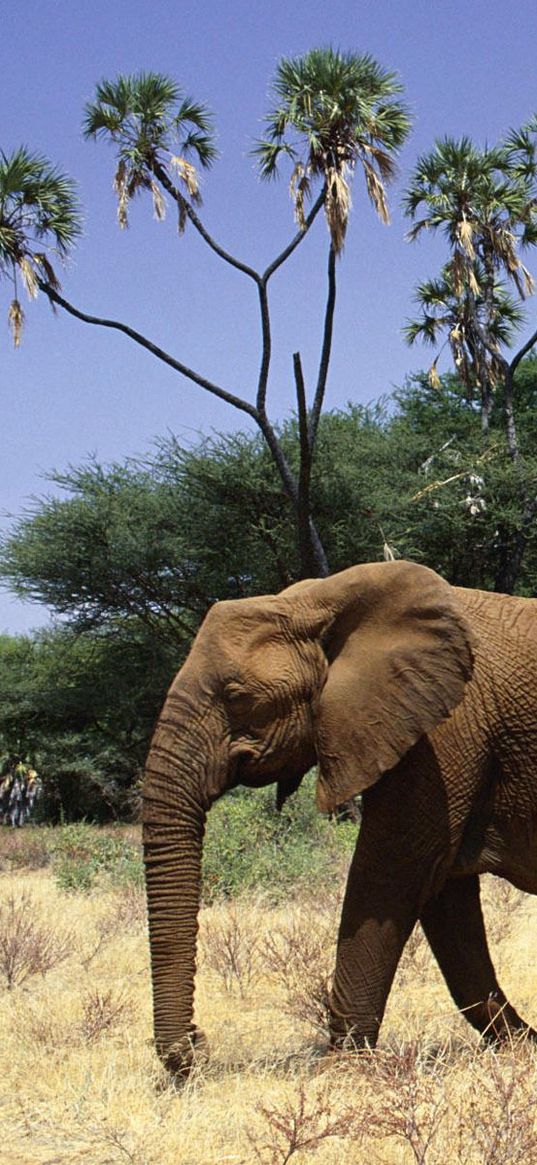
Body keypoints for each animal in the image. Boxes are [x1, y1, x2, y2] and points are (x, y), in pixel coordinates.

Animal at [140, 561, 535, 1071]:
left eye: (237, 696)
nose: (194, 1046)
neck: (318, 600)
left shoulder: (446, 728)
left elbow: (394, 869)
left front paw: (343, 1068)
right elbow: (446, 896)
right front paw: (522, 1048)